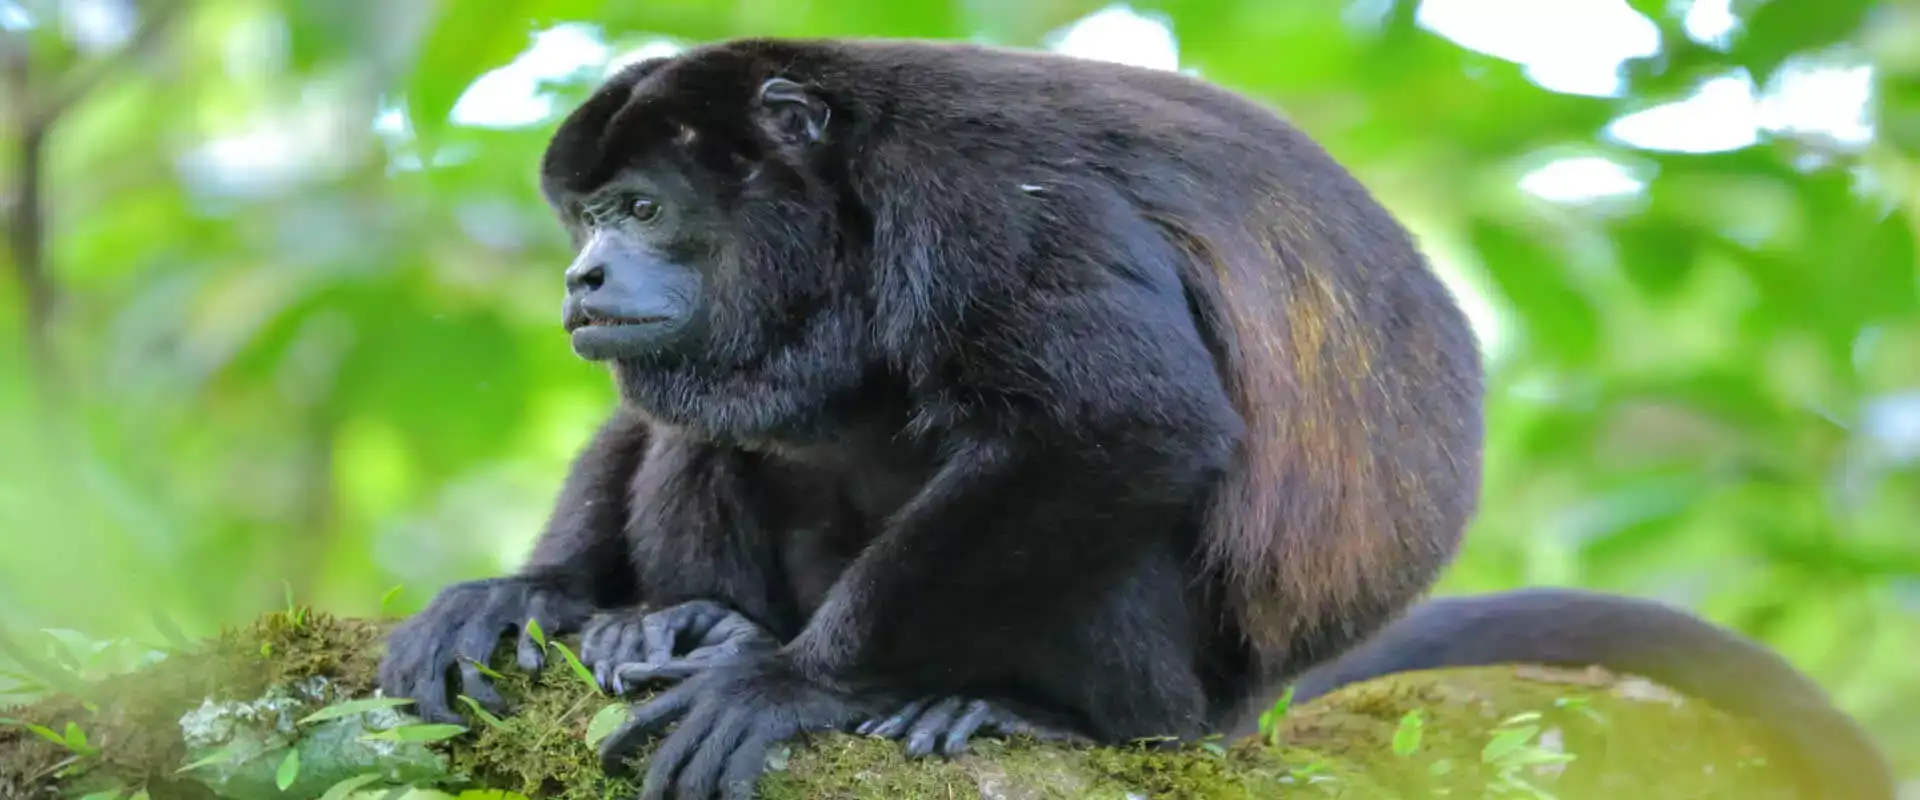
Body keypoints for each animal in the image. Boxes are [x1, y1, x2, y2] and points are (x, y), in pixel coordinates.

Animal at [382, 38, 1497, 798]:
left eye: (643, 209)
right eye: (587, 217)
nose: (582, 277)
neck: (840, 193)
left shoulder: (979, 190)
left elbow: (1128, 419)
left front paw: (790, 682)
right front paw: (534, 590)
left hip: (1184, 700)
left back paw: (1033, 715)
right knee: (707, 435)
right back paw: (690, 619)